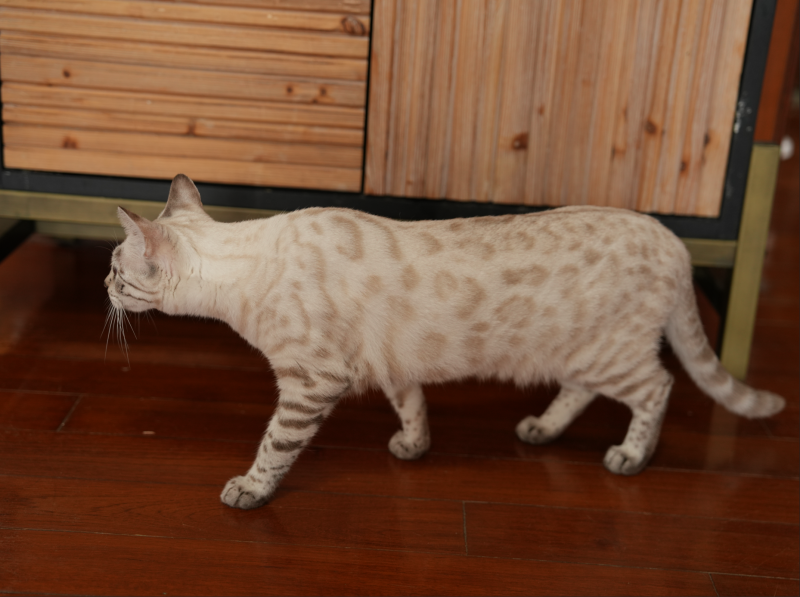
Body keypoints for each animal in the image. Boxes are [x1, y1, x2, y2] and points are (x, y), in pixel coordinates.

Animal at [105, 174, 785, 510]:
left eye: (114, 269)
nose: (102, 288)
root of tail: (673, 239)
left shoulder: (311, 381)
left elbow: (274, 446)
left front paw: (249, 490)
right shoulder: (392, 363)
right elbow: (413, 405)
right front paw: (414, 447)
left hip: (610, 355)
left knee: (659, 387)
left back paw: (630, 457)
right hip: (577, 351)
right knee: (581, 391)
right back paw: (541, 428)